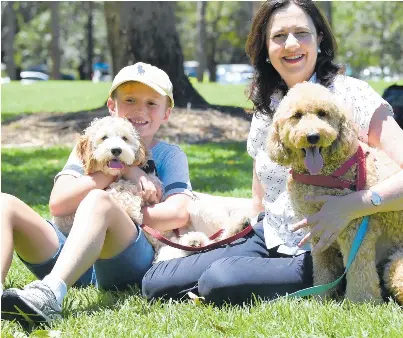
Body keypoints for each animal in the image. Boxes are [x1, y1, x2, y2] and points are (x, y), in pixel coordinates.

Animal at [53, 116, 252, 264]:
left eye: (124, 138)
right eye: (104, 138)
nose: (116, 150)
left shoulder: (151, 186)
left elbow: (122, 192)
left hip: (198, 210)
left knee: (219, 235)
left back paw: (236, 225)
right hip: (167, 248)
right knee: (201, 244)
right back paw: (195, 241)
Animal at [268, 82, 403, 304]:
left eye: (323, 113)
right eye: (297, 115)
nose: (313, 136)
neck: (323, 174)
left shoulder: (354, 228)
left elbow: (359, 269)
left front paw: (361, 302)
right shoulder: (318, 230)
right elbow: (324, 268)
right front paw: (321, 298)